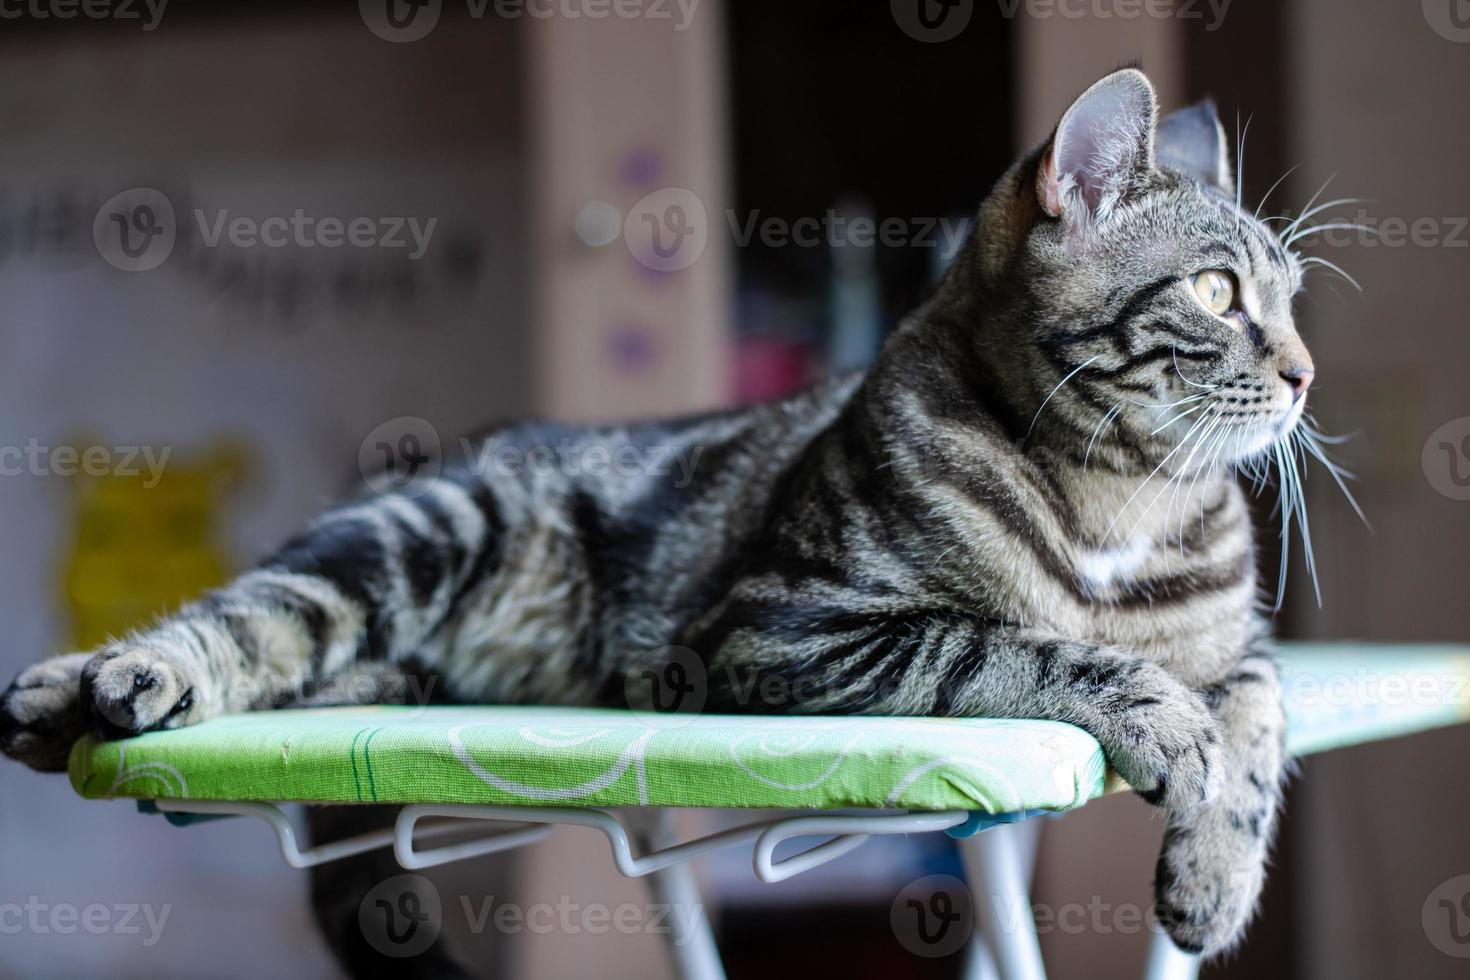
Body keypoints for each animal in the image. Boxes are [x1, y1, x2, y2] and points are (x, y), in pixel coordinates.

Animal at [2, 69, 1323, 963]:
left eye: (1293, 295)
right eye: (1219, 292)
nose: (1308, 371)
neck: (1128, 495)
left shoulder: (1247, 644)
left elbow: (1262, 722)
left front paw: (1213, 870)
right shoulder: (786, 627)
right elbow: (1023, 644)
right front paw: (1155, 712)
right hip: (415, 535)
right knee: (255, 611)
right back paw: (95, 681)